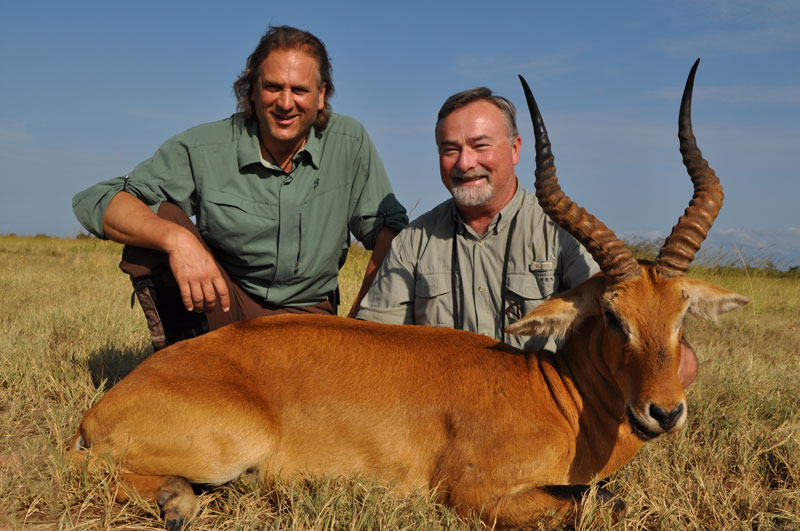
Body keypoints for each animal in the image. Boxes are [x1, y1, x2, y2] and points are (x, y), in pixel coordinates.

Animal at [70, 59, 748, 529]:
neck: (555, 396)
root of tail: (101, 408)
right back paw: (182, 500)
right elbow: (592, 503)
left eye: (681, 313)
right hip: (224, 448)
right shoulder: (475, 495)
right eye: (612, 316)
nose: (663, 412)